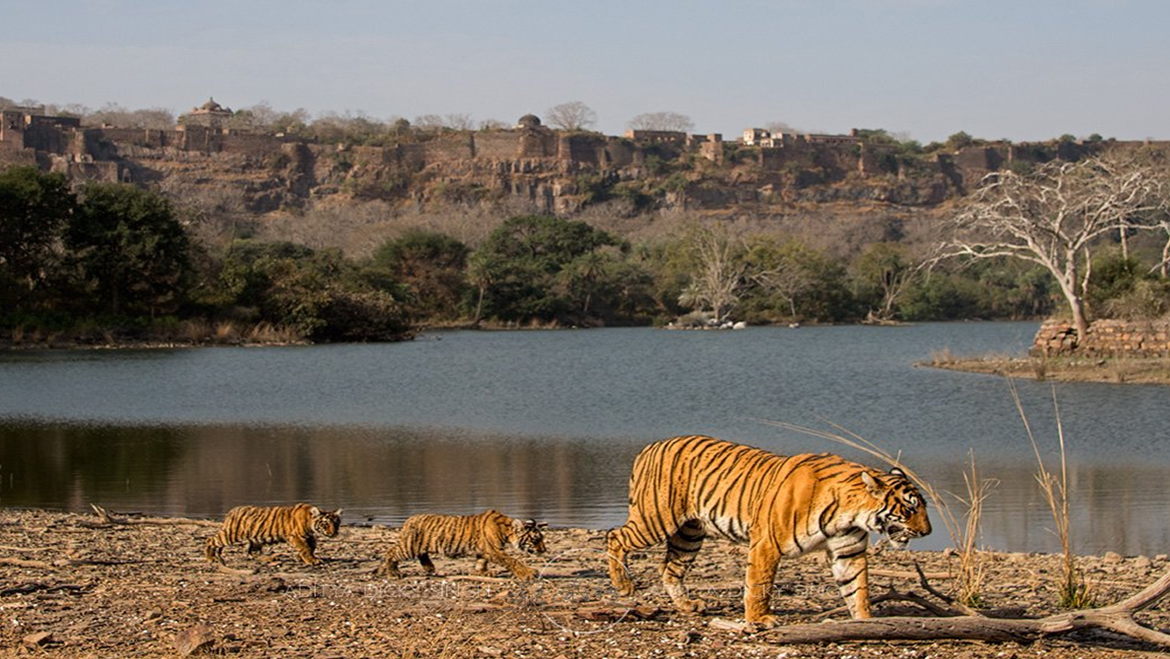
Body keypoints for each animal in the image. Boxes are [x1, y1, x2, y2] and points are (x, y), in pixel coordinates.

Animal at [205, 503, 341, 564]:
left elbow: (311, 547)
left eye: (337, 523)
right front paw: (312, 560)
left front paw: (302, 558)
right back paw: (210, 557)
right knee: (211, 540)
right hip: (231, 534)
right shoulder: (296, 536)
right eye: (326, 524)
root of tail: (232, 511)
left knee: (252, 552)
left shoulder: (310, 536)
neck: (311, 524)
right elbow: (305, 548)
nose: (334, 533)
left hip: (254, 539)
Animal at [381, 510, 549, 582]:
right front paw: (529, 573)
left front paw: (483, 572)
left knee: (422, 555)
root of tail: (409, 519)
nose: (544, 550)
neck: (506, 530)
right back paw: (393, 574)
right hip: (409, 547)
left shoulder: (484, 551)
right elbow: (512, 561)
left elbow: (481, 561)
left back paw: (429, 568)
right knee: (391, 552)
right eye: (536, 539)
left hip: (420, 546)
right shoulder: (494, 550)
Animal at [608, 435, 926, 627]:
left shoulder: (848, 552)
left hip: (689, 534)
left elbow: (857, 588)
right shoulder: (767, 543)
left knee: (669, 569)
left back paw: (687, 605)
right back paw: (623, 585)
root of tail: (650, 446)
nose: (927, 531)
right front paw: (759, 619)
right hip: (655, 520)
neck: (850, 515)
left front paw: (865, 621)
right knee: (614, 536)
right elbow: (759, 585)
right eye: (910, 509)